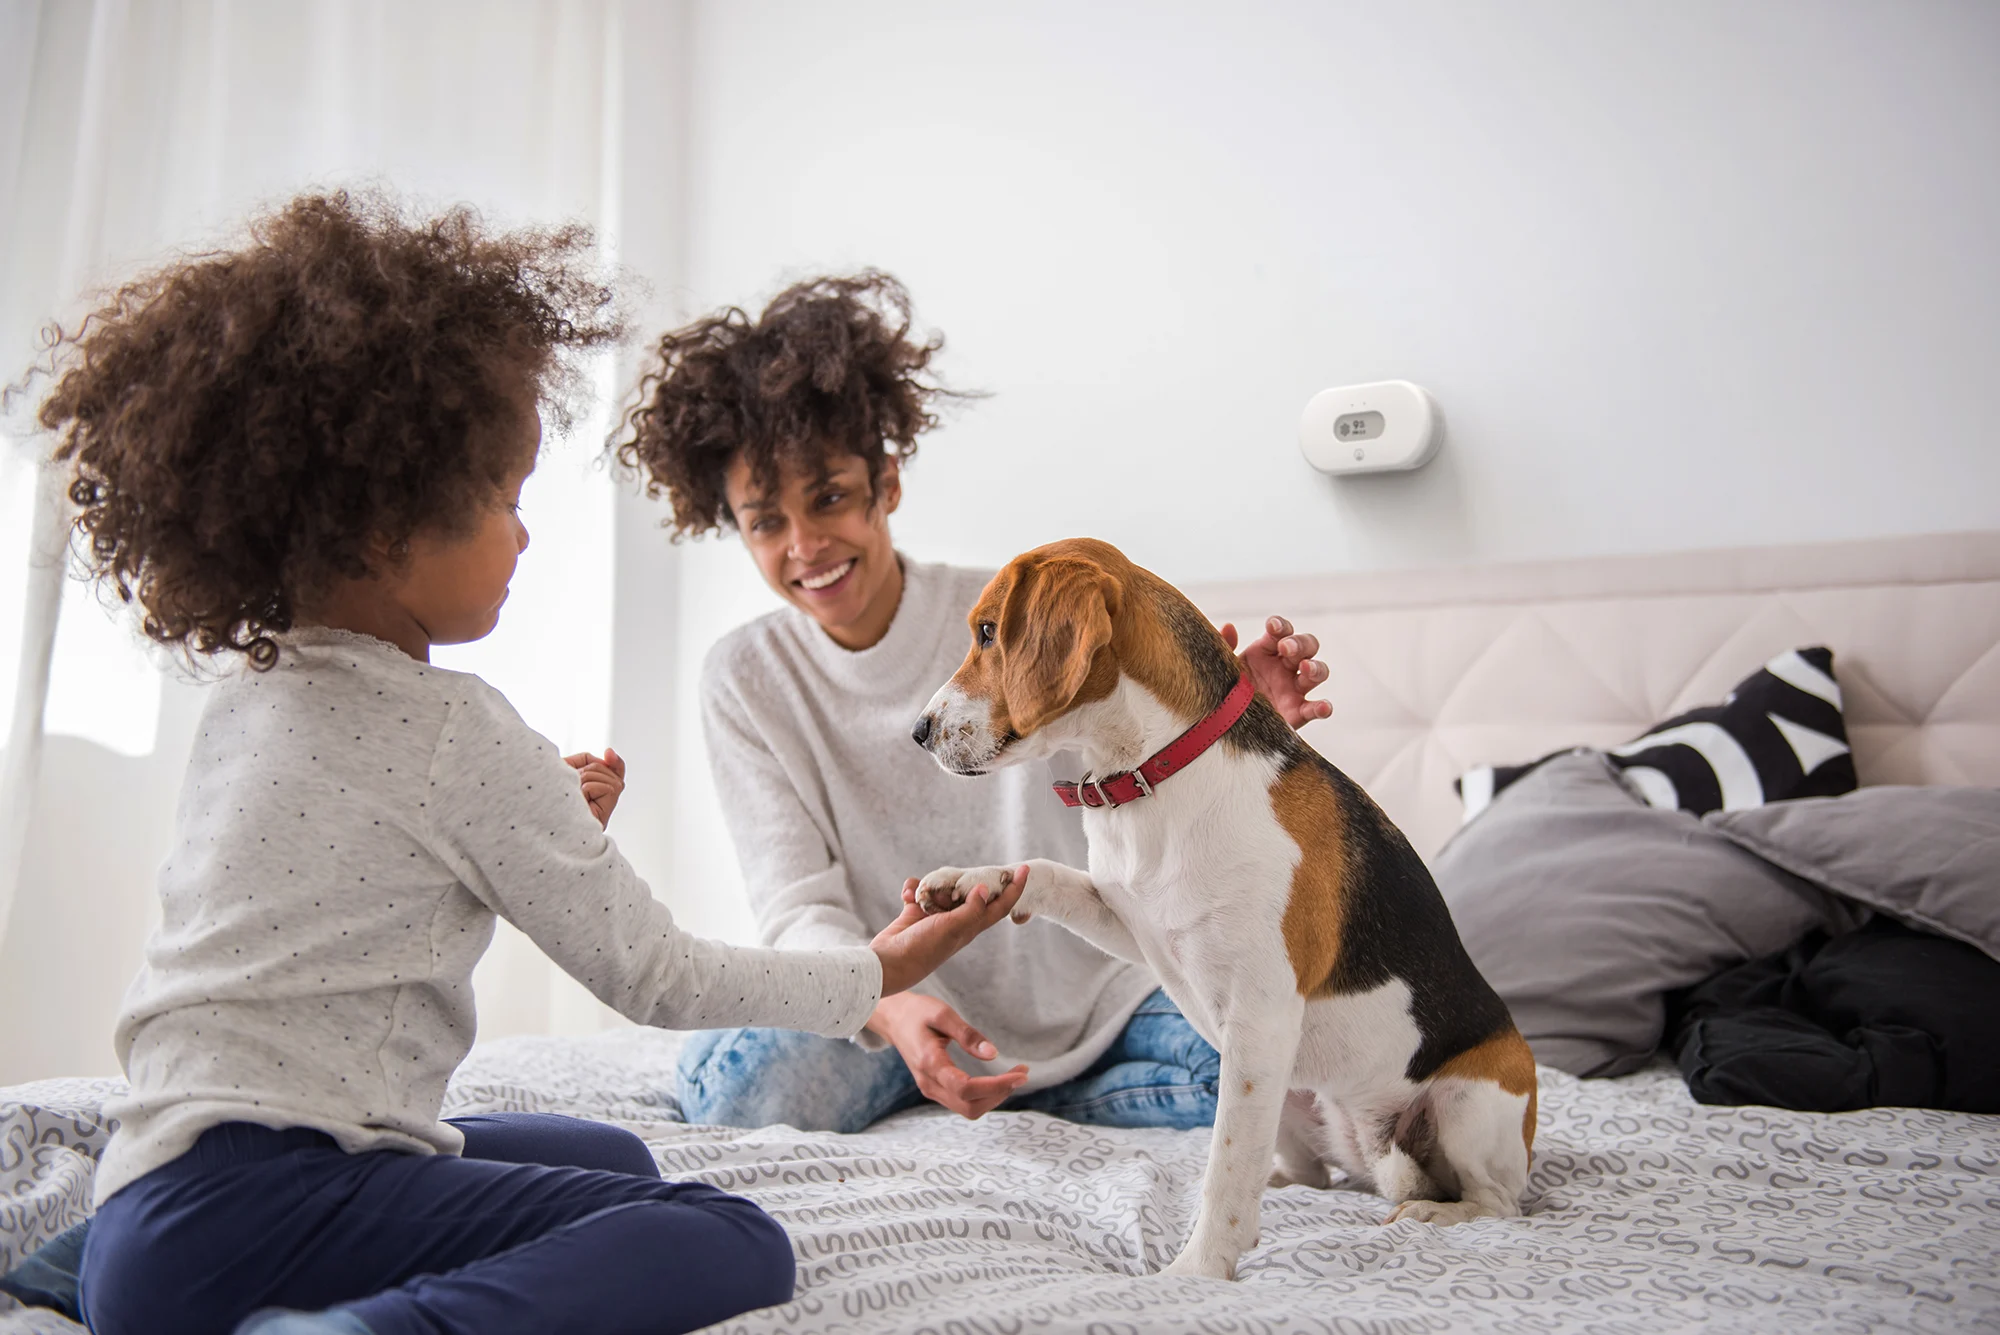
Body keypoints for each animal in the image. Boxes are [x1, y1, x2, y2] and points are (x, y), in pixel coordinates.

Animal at [916, 539, 1536, 1279]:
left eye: (986, 632)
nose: (918, 731)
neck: (1155, 774)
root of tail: (1372, 1147)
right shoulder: (1131, 922)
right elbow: (1043, 871)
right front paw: (970, 881)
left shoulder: (1260, 1015)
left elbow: (1226, 1167)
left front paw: (1196, 1272)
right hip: (1287, 1096)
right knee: (1310, 1175)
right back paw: (1294, 1185)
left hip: (1462, 1097)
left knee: (1498, 1202)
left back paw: (1432, 1212)